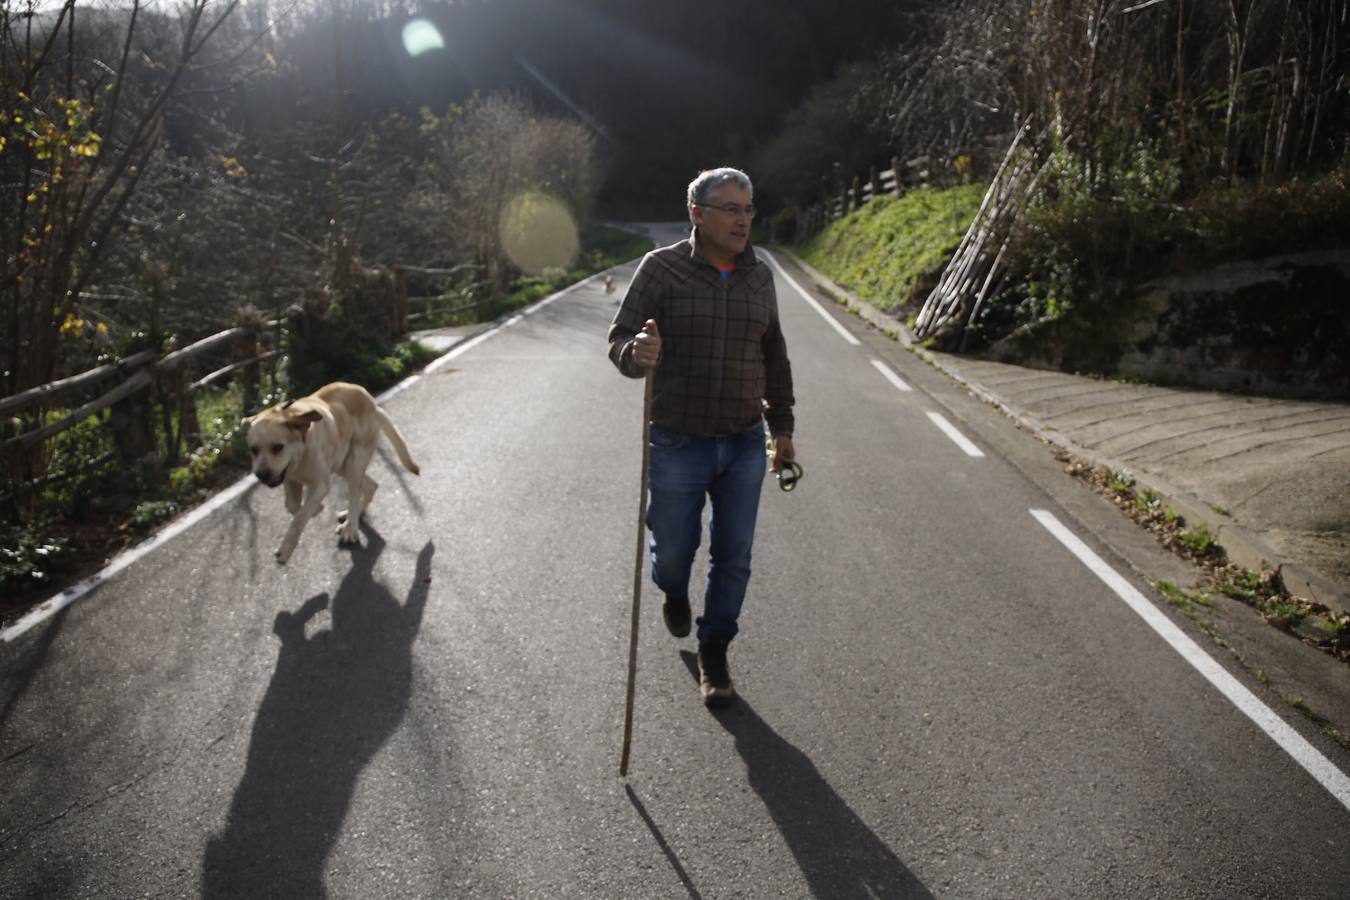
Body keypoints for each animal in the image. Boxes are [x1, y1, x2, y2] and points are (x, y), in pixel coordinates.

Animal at [243, 383, 418, 564]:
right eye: (253, 450)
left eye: (277, 447)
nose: (261, 475)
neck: (301, 453)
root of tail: (372, 402)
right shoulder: (289, 479)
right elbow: (292, 506)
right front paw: (316, 509)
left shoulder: (320, 484)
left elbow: (299, 518)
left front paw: (285, 549)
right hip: (342, 464)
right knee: (371, 486)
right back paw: (352, 516)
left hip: (355, 461)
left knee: (355, 494)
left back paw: (350, 529)